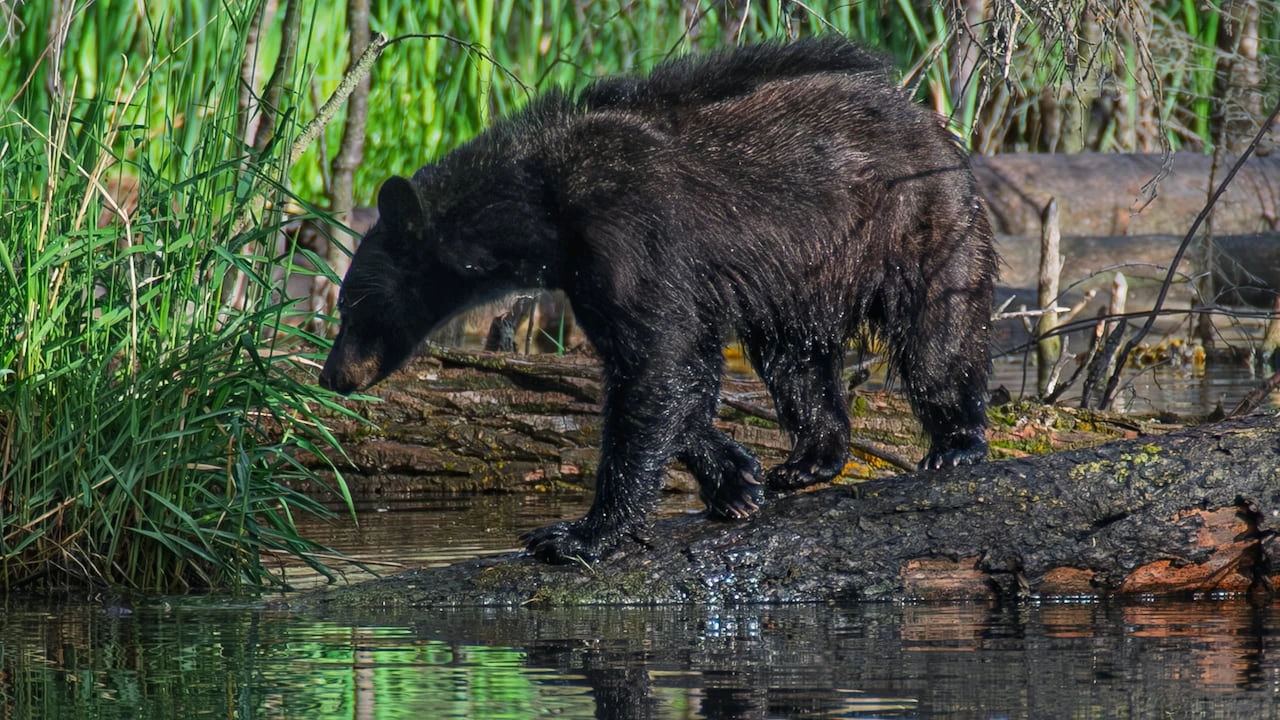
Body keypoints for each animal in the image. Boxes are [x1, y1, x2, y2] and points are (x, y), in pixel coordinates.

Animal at [318, 37, 998, 564]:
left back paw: (955, 444)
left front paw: (579, 534)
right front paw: (734, 477)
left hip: (917, 221)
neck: (543, 208)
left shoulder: (631, 236)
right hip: (800, 279)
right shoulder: (592, 276)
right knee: (793, 359)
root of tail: (925, 118)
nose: (333, 377)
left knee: (938, 331)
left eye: (351, 304)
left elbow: (652, 363)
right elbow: (679, 367)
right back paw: (809, 458)